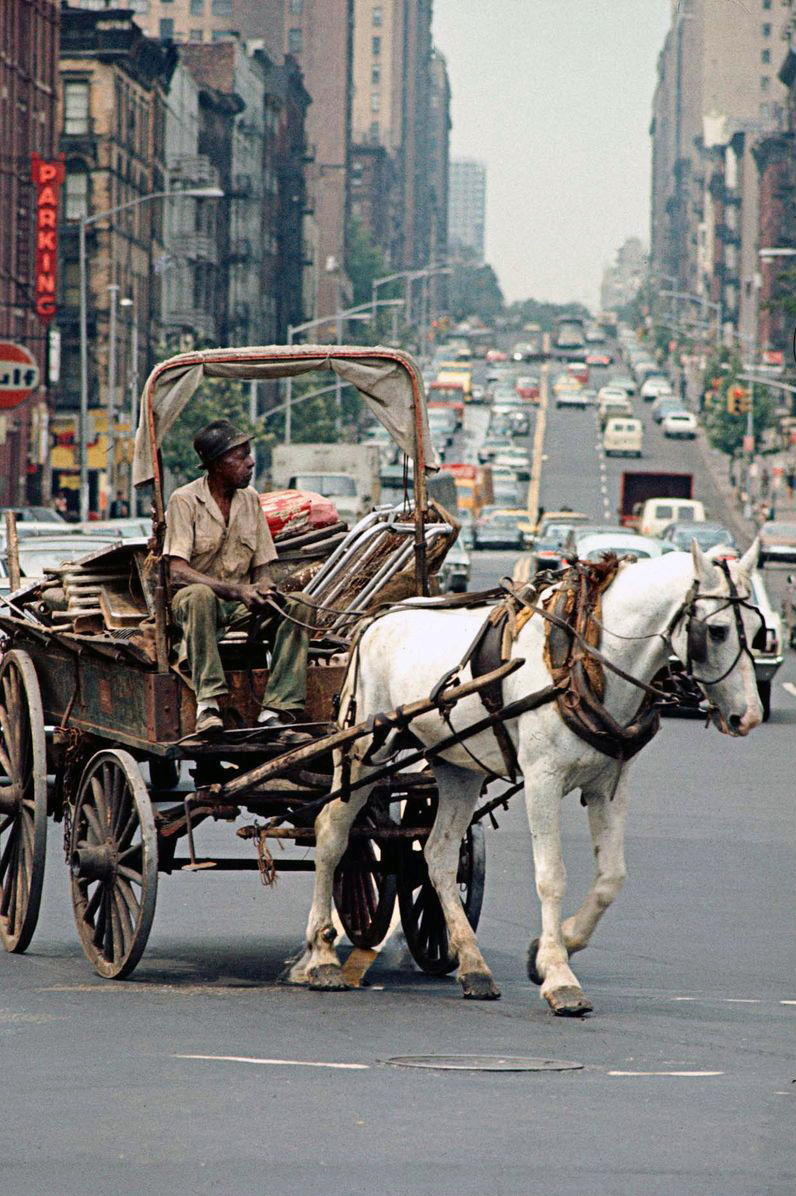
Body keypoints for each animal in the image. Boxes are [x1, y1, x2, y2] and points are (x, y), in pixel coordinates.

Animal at [282, 545, 760, 1018]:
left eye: (757, 632)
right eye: (717, 631)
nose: (749, 717)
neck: (582, 659)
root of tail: (375, 620)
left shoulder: (609, 784)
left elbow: (611, 877)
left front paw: (553, 948)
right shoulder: (542, 778)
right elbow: (551, 876)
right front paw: (560, 977)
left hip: (458, 765)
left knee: (438, 855)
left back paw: (473, 966)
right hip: (362, 747)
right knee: (332, 833)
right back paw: (320, 956)